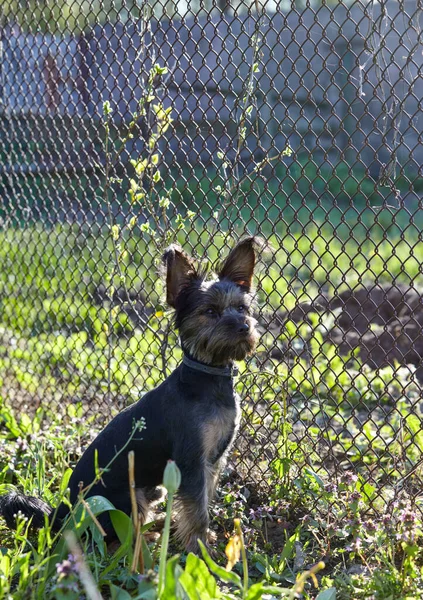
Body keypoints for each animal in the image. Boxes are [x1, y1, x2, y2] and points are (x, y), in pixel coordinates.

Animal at [0, 236, 262, 552]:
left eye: (242, 308)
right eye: (210, 312)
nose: (244, 327)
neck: (207, 376)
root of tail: (59, 517)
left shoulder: (211, 463)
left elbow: (204, 502)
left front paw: (202, 539)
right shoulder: (191, 464)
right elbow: (198, 510)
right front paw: (200, 550)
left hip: (151, 490)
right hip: (124, 497)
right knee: (107, 538)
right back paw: (143, 540)